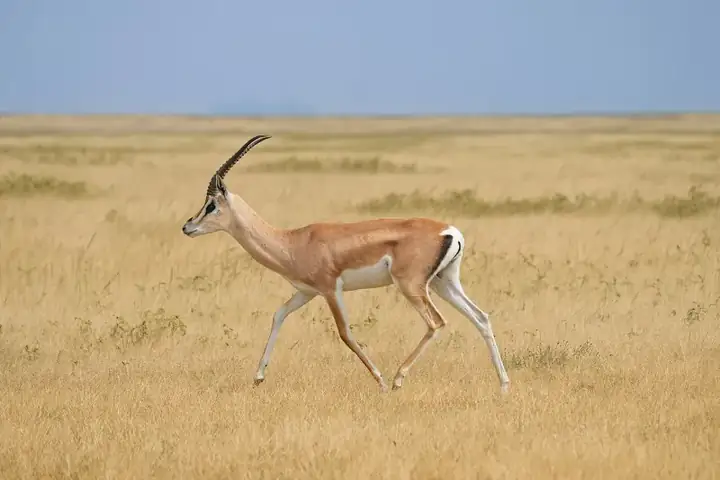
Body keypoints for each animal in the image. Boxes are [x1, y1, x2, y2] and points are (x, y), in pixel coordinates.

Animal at [182, 134, 510, 393]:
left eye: (211, 204)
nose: (187, 227)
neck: (292, 242)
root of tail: (449, 231)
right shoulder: (306, 292)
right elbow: (278, 316)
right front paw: (258, 376)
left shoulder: (329, 289)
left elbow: (345, 333)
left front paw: (380, 381)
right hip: (445, 283)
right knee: (481, 317)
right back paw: (504, 385)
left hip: (412, 286)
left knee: (436, 322)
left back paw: (397, 379)